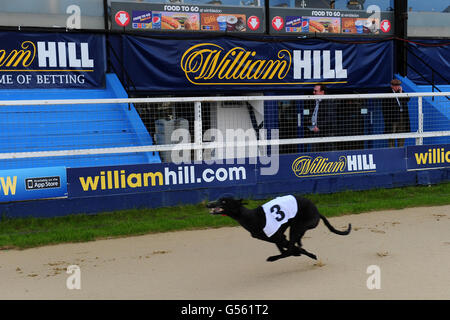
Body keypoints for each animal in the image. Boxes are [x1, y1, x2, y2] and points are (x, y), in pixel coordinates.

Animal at [207, 194, 352, 262]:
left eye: (224, 201)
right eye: (219, 199)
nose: (208, 204)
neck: (250, 216)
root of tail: (317, 212)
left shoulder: (279, 236)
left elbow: (289, 250)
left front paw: (307, 253)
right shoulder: (277, 237)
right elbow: (286, 248)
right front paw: (302, 252)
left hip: (297, 227)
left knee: (290, 248)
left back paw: (274, 258)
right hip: (296, 228)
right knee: (293, 245)